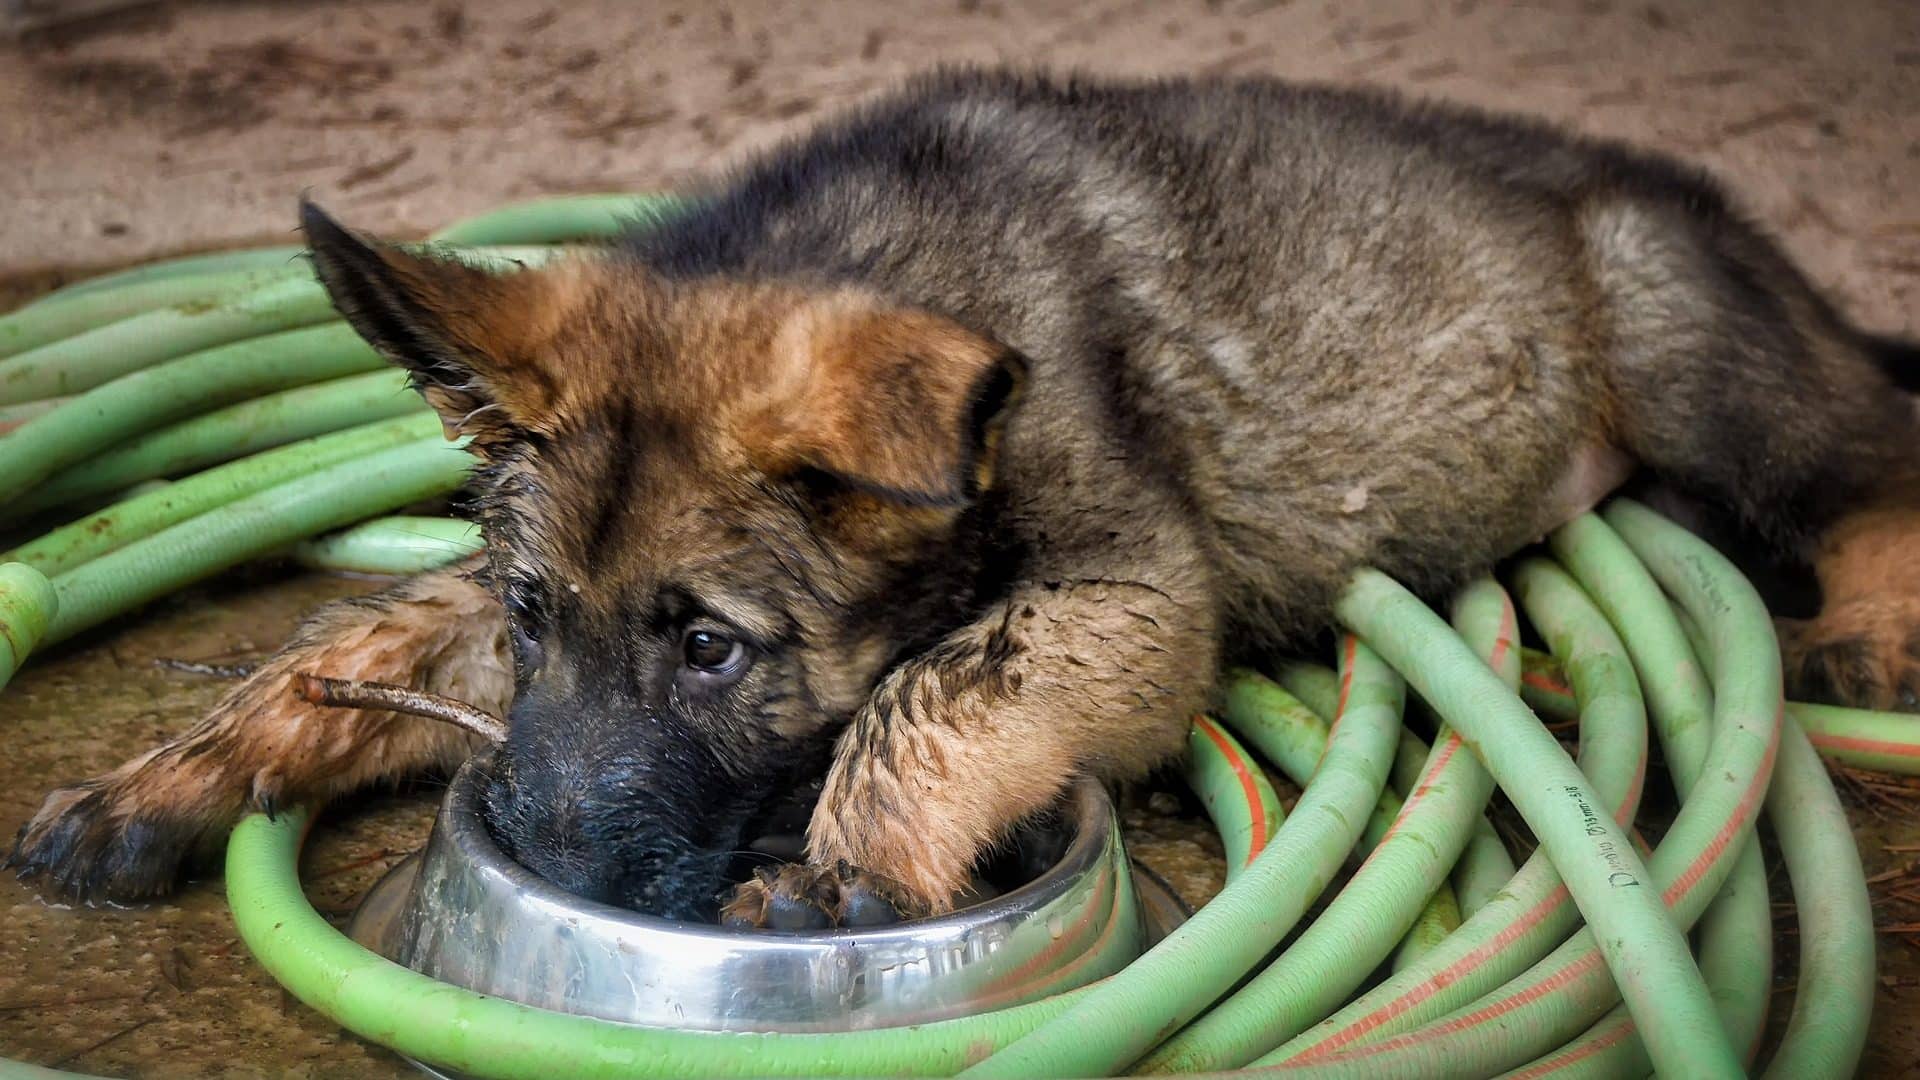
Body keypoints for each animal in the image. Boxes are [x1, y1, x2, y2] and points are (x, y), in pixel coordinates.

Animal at [7, 71, 1912, 922]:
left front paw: (847, 870)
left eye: (713, 651)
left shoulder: (1134, 591)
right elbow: (355, 640)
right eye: (542, 619)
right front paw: (167, 780)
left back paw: (1877, 618)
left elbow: (941, 685)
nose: (545, 858)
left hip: (1681, 338)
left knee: (1871, 448)